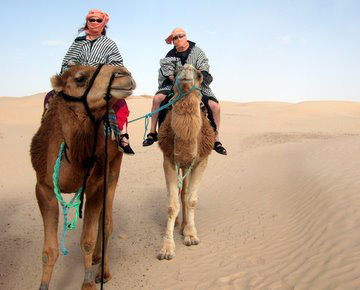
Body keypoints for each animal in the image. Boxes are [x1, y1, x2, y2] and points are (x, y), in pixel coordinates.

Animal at [29, 64, 136, 290]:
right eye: (79, 79)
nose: (124, 74)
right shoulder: (43, 188)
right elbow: (48, 251)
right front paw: (43, 285)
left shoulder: (96, 184)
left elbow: (86, 239)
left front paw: (88, 283)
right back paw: (96, 257)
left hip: (114, 168)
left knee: (106, 223)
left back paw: (103, 271)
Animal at [157, 64, 214, 260]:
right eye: (175, 72)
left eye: (199, 75)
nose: (186, 70)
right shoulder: (169, 159)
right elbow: (172, 204)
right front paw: (167, 248)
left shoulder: (200, 161)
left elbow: (191, 200)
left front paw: (191, 235)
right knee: (180, 193)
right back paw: (178, 224)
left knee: (185, 194)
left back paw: (184, 227)